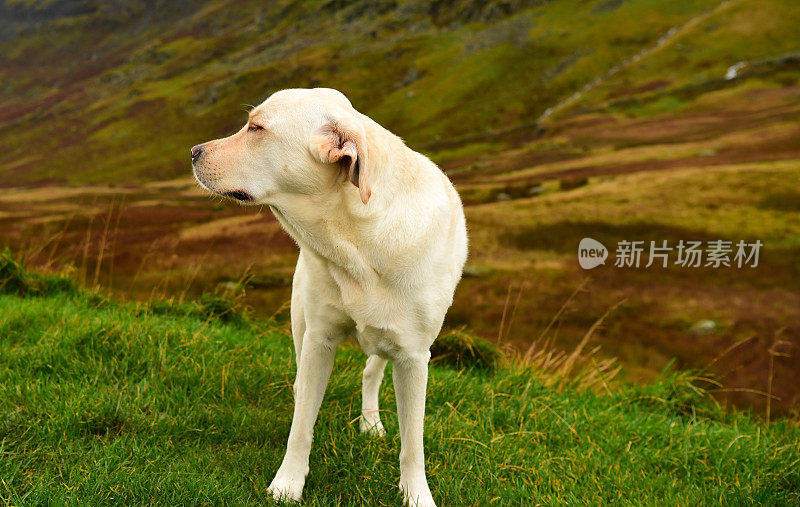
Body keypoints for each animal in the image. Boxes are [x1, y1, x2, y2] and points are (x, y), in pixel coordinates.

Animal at [191, 89, 466, 506]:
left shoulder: (415, 357)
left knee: (372, 370)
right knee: (303, 383)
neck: (359, 242)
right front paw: (287, 485)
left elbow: (413, 444)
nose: (193, 151)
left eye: (256, 128)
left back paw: (371, 422)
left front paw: (417, 494)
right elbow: (301, 425)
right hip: (300, 320)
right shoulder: (318, 340)